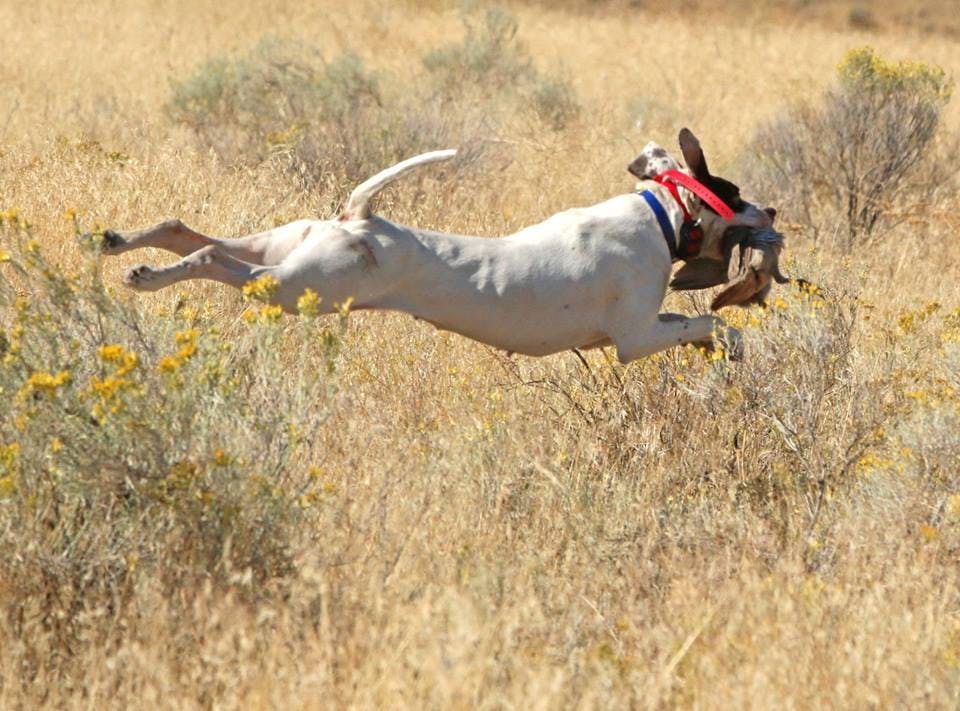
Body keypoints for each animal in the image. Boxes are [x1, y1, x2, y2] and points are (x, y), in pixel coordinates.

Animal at [99, 129, 780, 362]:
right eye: (736, 193)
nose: (773, 211)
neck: (661, 216)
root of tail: (360, 219)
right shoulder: (634, 340)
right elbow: (709, 324)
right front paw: (728, 343)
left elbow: (696, 324)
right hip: (295, 287)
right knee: (212, 257)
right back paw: (144, 276)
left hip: (284, 249)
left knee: (185, 229)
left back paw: (116, 242)